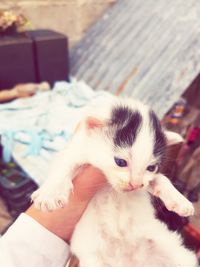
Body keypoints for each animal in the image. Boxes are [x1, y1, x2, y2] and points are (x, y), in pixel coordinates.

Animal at [32, 97, 198, 266]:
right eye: (120, 162)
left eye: (151, 167)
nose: (135, 185)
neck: (111, 186)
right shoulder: (79, 148)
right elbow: (65, 163)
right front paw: (51, 194)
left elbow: (161, 178)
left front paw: (179, 200)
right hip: (93, 260)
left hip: (176, 252)